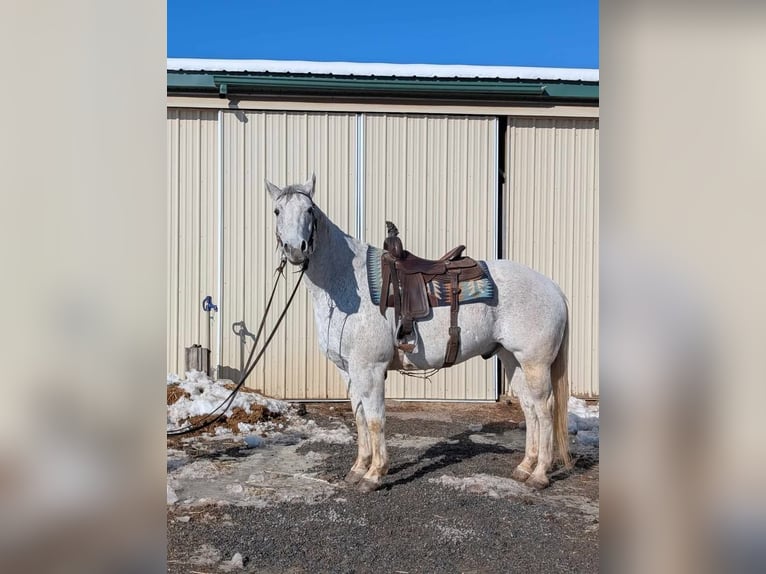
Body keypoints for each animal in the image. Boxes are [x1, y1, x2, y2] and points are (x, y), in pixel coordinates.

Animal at [266, 175, 571, 492]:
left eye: (309, 210)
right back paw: (524, 468)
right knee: (529, 408)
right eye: (277, 211)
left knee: (545, 408)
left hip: (535, 362)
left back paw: (539, 474)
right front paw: (358, 468)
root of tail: (553, 288)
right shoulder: (347, 370)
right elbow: (359, 418)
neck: (348, 285)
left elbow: (375, 420)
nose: (296, 249)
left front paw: (374, 475)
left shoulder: (370, 368)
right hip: (512, 359)